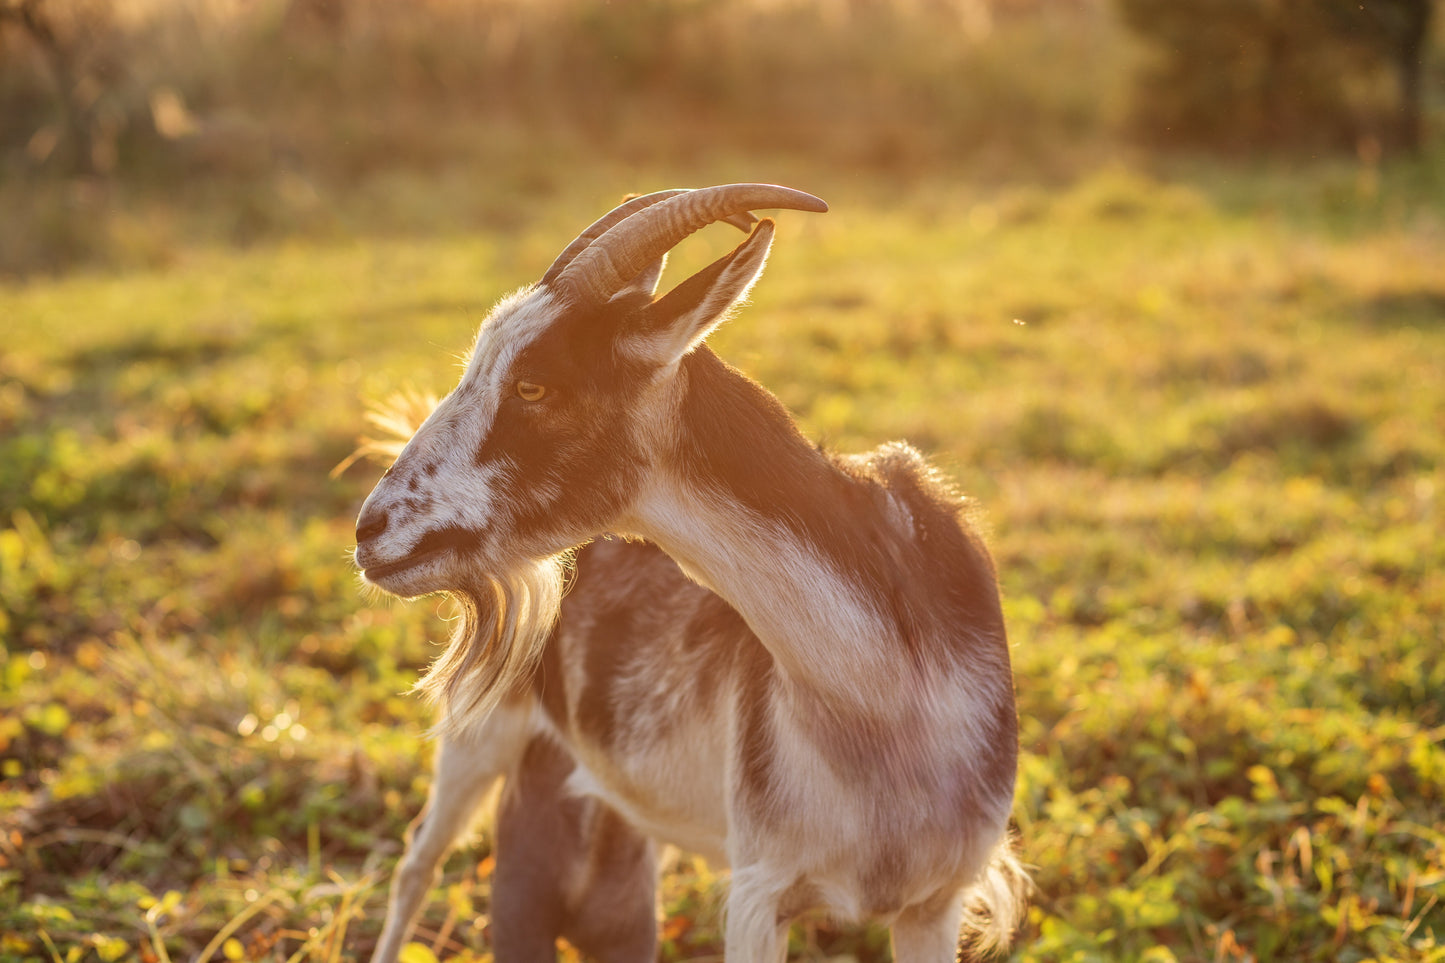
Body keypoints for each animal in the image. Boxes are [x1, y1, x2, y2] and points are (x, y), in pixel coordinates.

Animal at [356, 185, 1026, 962]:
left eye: (533, 386)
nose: (369, 530)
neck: (888, 699)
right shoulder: (760, 887)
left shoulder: (933, 903)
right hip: (479, 735)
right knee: (418, 863)